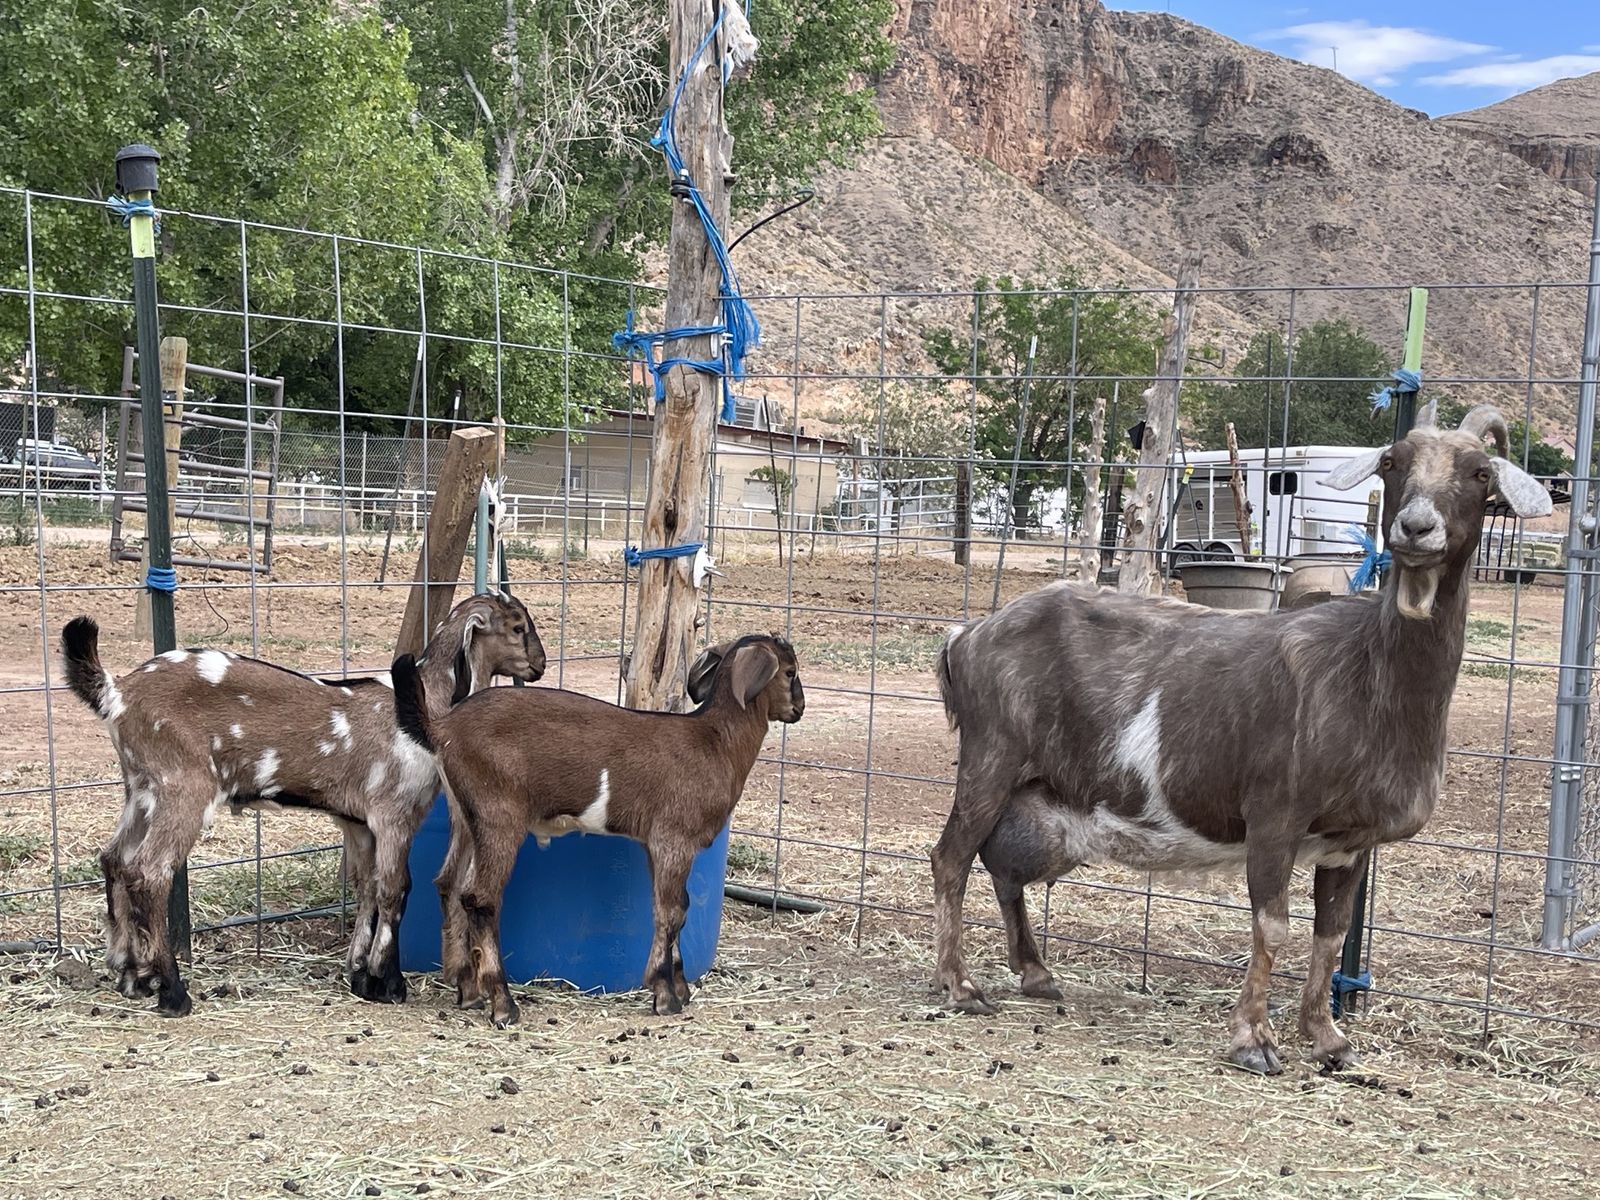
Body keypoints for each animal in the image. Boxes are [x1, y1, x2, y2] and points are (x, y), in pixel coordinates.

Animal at [61, 592, 545, 1016]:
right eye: (518, 627)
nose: (539, 665)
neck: (422, 702)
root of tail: (119, 692)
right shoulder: (395, 813)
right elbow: (395, 889)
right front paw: (389, 983)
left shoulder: (358, 823)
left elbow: (366, 888)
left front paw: (360, 975)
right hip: (182, 787)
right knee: (150, 872)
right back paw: (173, 993)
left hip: (141, 788)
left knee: (116, 860)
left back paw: (132, 977)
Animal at [389, 633, 803, 1025]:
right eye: (790, 672)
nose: (798, 709)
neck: (714, 742)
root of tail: (443, 727)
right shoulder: (674, 837)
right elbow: (673, 911)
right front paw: (666, 996)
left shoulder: (654, 844)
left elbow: (672, 906)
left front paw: (679, 989)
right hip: (498, 812)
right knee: (481, 898)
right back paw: (503, 1004)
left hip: (464, 815)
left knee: (451, 885)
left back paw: (469, 992)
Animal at [930, 403, 1551, 1073]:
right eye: (1392, 462)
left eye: (1480, 472)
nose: (1415, 528)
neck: (1366, 670)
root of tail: (967, 635)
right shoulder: (1276, 815)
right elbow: (1272, 926)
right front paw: (1254, 1040)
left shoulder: (1349, 842)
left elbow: (1331, 933)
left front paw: (1327, 1037)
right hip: (991, 758)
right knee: (953, 858)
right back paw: (960, 987)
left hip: (1042, 795)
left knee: (1005, 869)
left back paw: (1037, 975)